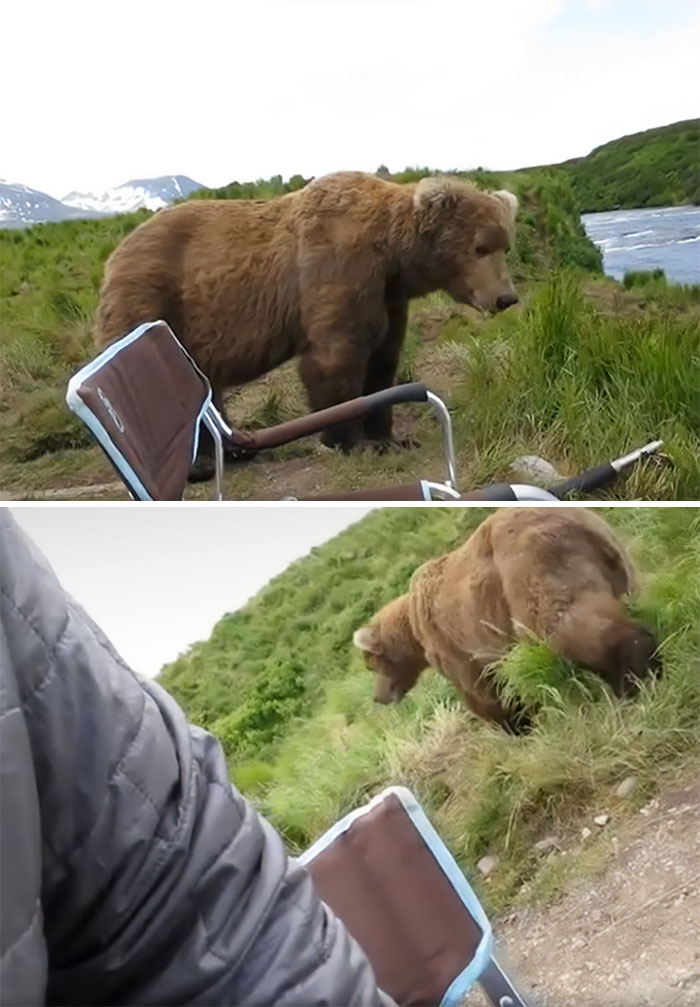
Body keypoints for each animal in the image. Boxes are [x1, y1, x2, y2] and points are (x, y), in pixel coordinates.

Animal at [94, 171, 519, 456]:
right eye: (480, 247)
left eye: (505, 245)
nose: (506, 297)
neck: (393, 256)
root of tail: (114, 254)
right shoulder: (336, 267)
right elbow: (337, 356)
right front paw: (351, 441)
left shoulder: (388, 296)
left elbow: (383, 359)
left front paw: (391, 436)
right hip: (152, 302)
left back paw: (233, 448)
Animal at [353, 508, 660, 733]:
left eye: (371, 665)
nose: (378, 697)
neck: (413, 631)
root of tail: (582, 519)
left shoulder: (449, 640)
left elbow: (480, 688)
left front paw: (515, 724)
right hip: (620, 567)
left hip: (530, 564)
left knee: (563, 625)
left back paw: (632, 678)